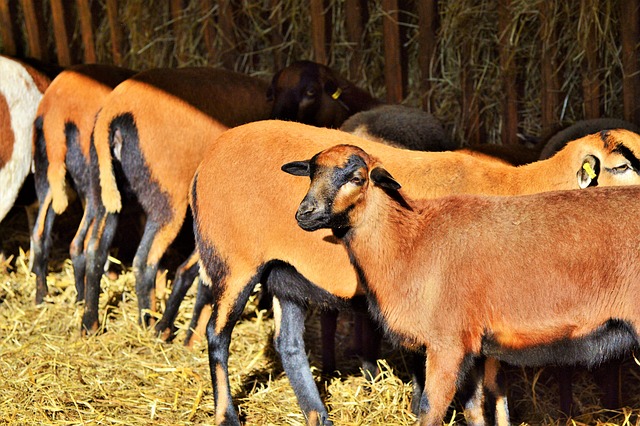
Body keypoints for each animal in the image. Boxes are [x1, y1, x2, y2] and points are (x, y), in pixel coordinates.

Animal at [30, 62, 137, 302]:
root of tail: (56, 115)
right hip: (96, 187)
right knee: (79, 244)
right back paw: (82, 295)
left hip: (47, 177)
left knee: (40, 235)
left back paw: (42, 296)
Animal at [84, 66, 270, 334]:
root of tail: (113, 114)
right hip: (166, 200)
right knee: (144, 261)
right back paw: (149, 323)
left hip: (104, 193)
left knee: (95, 250)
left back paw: (90, 323)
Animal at [188, 120, 640, 426]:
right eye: (621, 166)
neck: (519, 186)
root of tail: (206, 158)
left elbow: (496, 390)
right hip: (234, 262)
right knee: (217, 336)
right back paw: (227, 414)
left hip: (285, 274)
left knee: (289, 346)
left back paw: (318, 414)